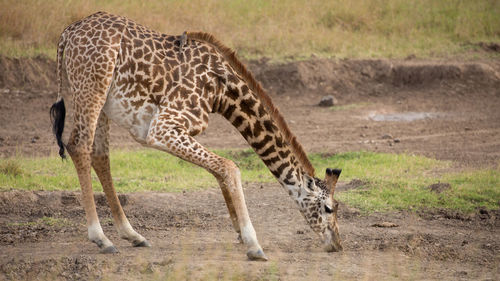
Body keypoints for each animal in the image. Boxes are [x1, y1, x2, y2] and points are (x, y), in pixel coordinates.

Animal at [50, 12, 342, 260]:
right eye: (329, 208)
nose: (337, 243)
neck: (222, 90)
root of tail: (66, 34)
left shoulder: (174, 128)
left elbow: (219, 170)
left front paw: (239, 233)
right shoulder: (163, 127)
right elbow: (230, 166)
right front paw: (253, 244)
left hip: (101, 101)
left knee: (99, 155)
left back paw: (132, 235)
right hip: (92, 88)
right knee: (78, 146)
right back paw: (101, 238)